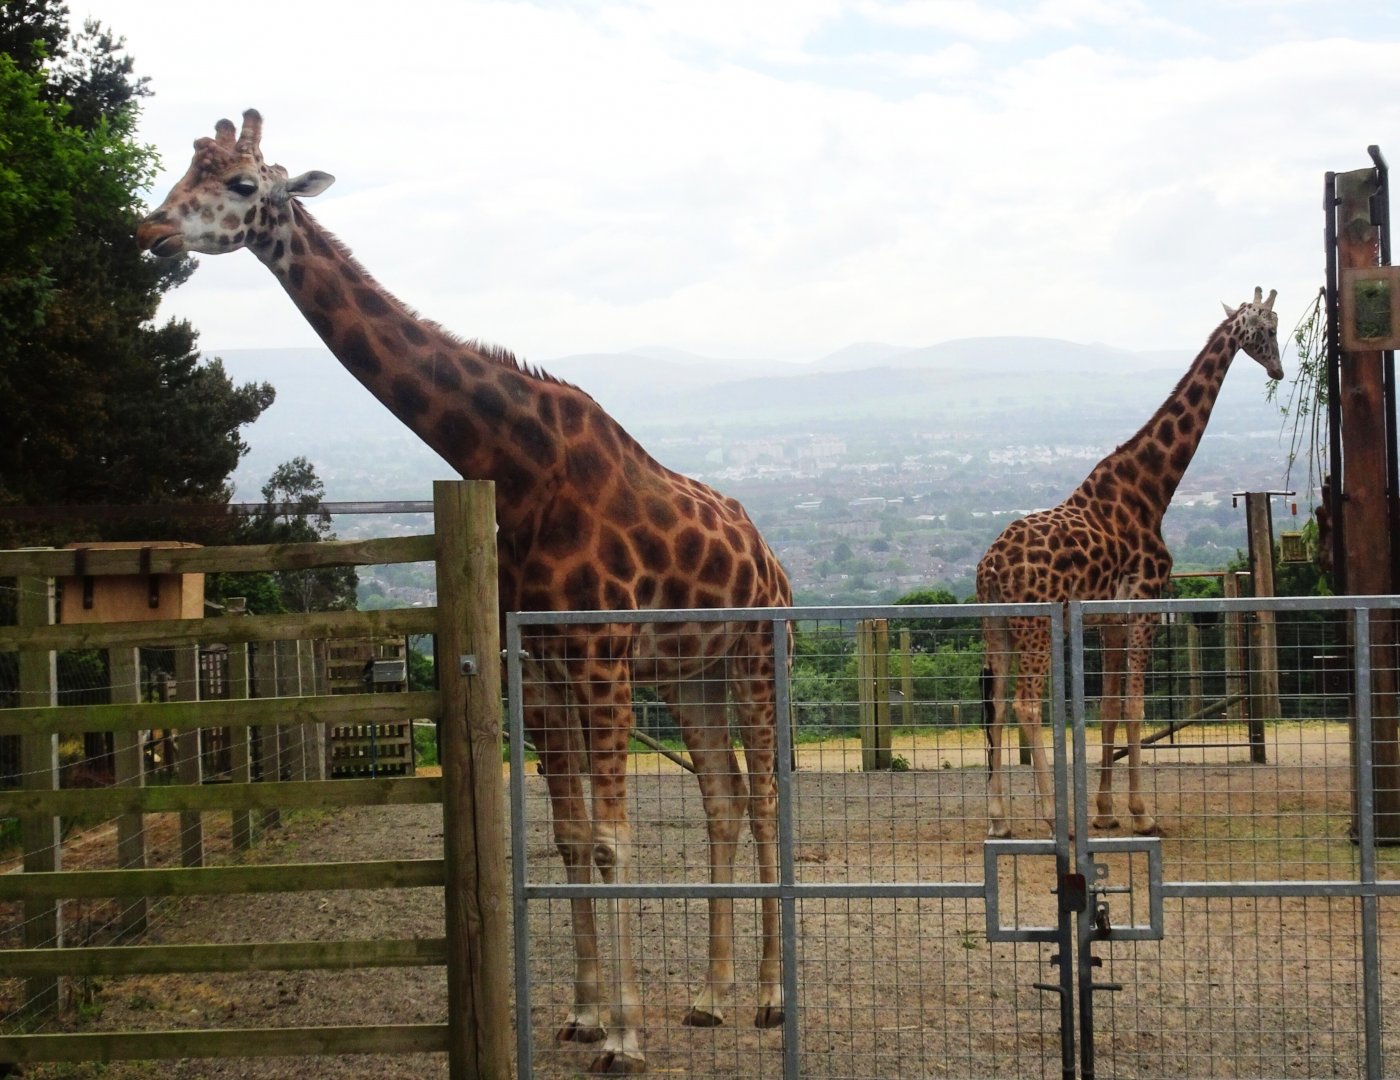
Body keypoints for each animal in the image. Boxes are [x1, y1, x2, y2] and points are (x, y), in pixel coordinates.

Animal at [137, 109, 790, 1074]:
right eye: (189, 166)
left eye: (245, 183)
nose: (148, 229)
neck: (514, 470)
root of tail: (773, 557)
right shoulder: (542, 662)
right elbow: (569, 836)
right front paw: (584, 1015)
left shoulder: (600, 656)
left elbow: (612, 839)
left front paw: (625, 1037)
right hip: (690, 674)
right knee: (725, 801)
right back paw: (711, 998)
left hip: (752, 657)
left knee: (768, 799)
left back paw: (773, 1000)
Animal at [975, 288, 1283, 839]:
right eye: (1266, 329)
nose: (1279, 370)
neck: (1150, 492)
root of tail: (988, 568)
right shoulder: (1144, 606)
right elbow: (1137, 706)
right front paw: (1142, 813)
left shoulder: (1110, 621)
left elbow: (1109, 707)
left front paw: (1105, 810)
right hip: (1035, 626)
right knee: (1027, 704)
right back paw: (1053, 817)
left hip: (998, 628)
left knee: (996, 705)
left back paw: (999, 820)